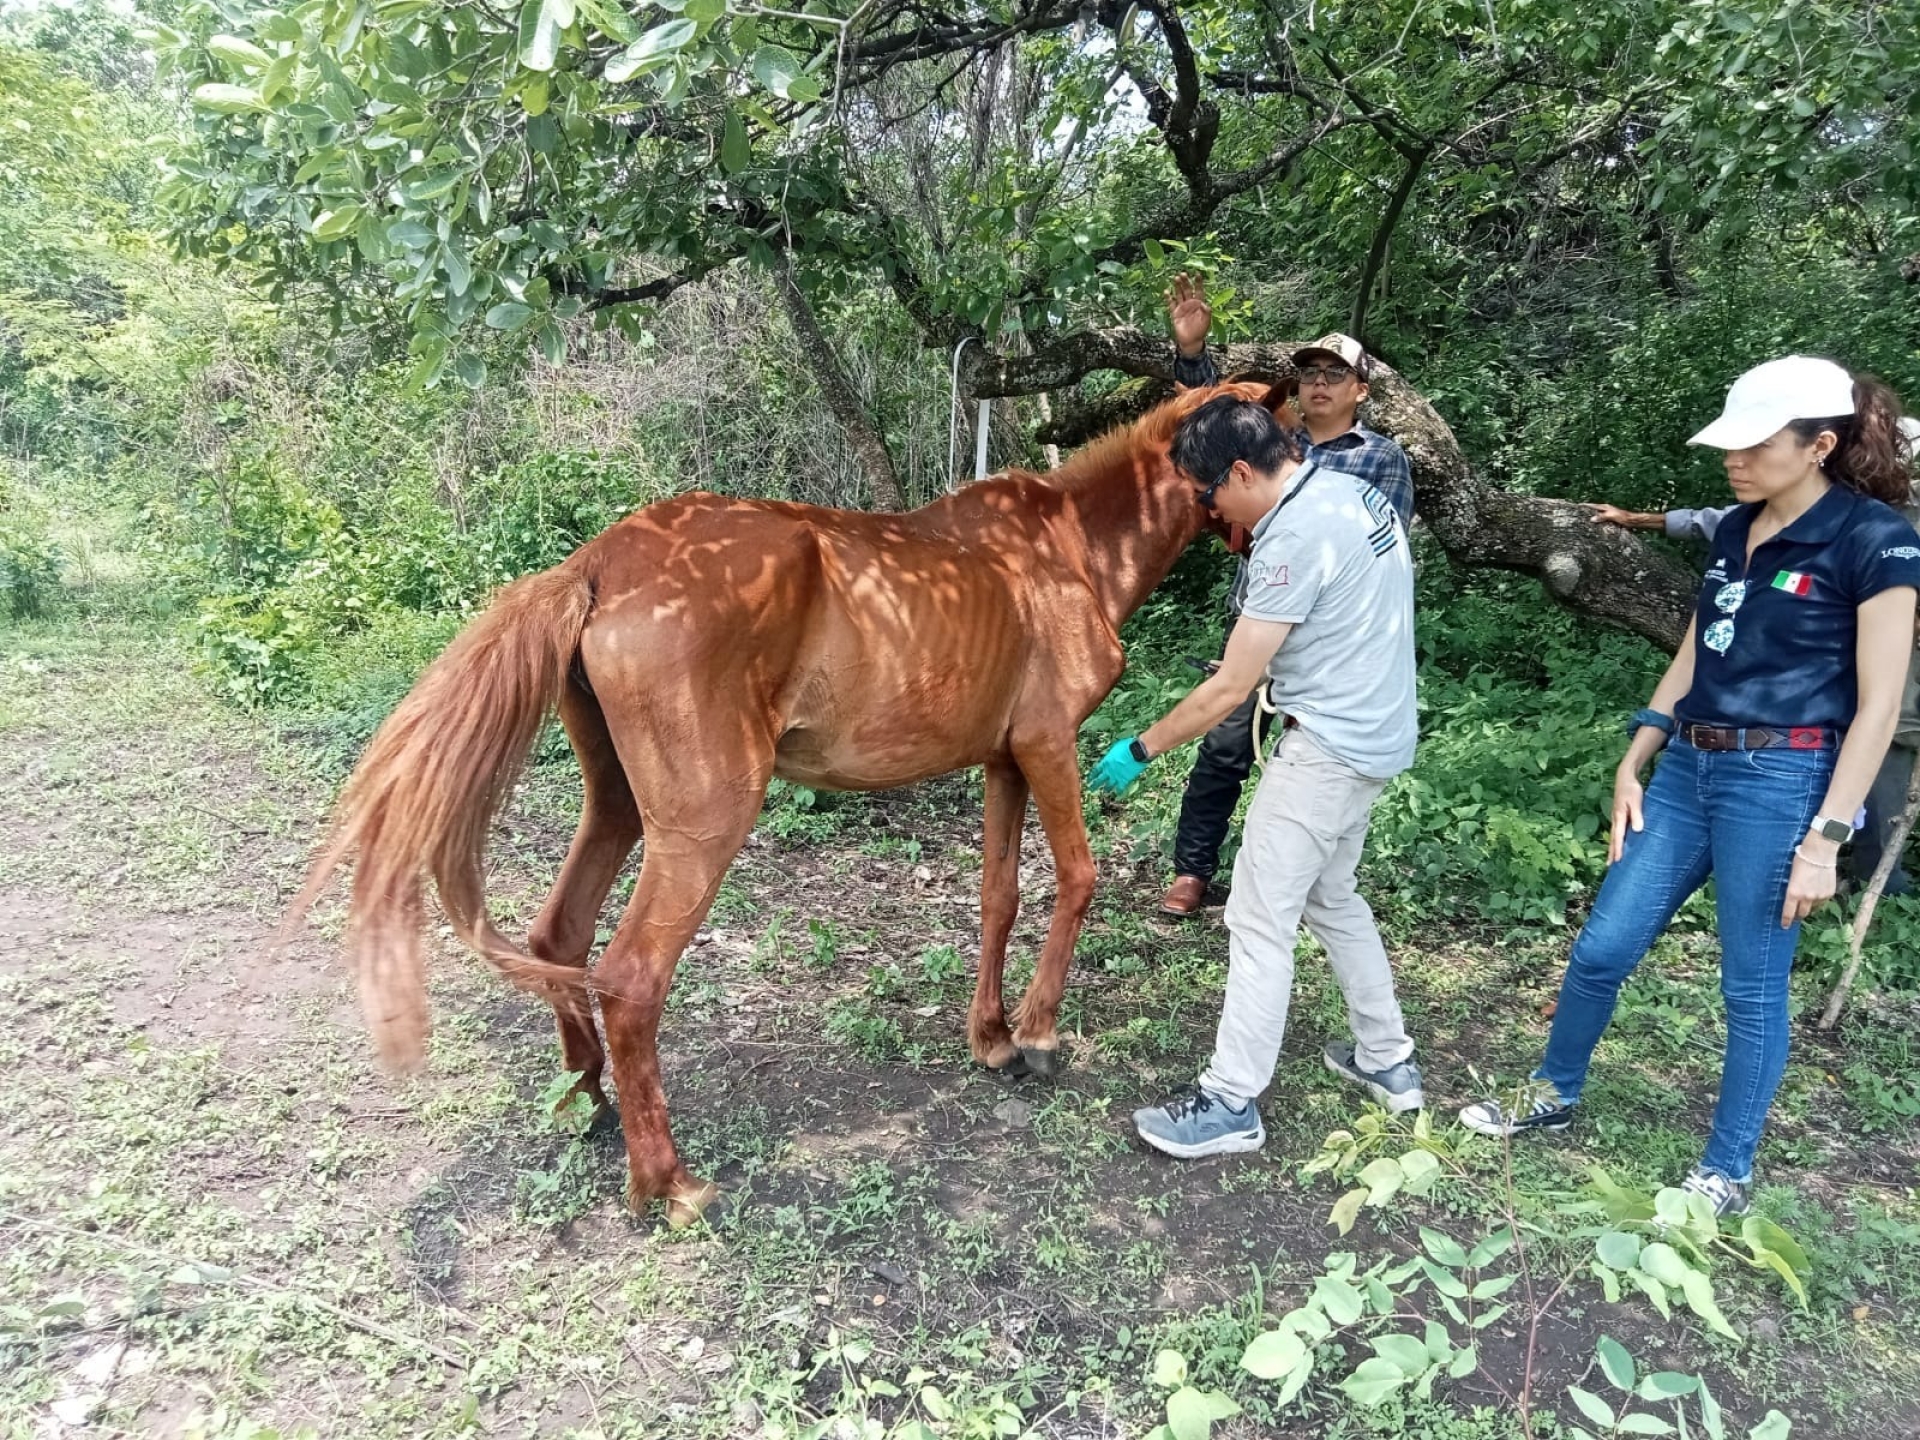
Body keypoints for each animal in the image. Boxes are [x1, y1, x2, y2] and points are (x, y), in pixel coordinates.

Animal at [293, 379, 1286, 1227]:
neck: (1068, 545)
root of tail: (600, 563)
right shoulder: (1048, 746)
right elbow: (1077, 879)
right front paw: (1038, 1034)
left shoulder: (1004, 763)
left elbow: (998, 899)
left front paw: (992, 1038)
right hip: (705, 823)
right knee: (630, 979)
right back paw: (669, 1185)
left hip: (617, 807)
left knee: (559, 935)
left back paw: (588, 1101)